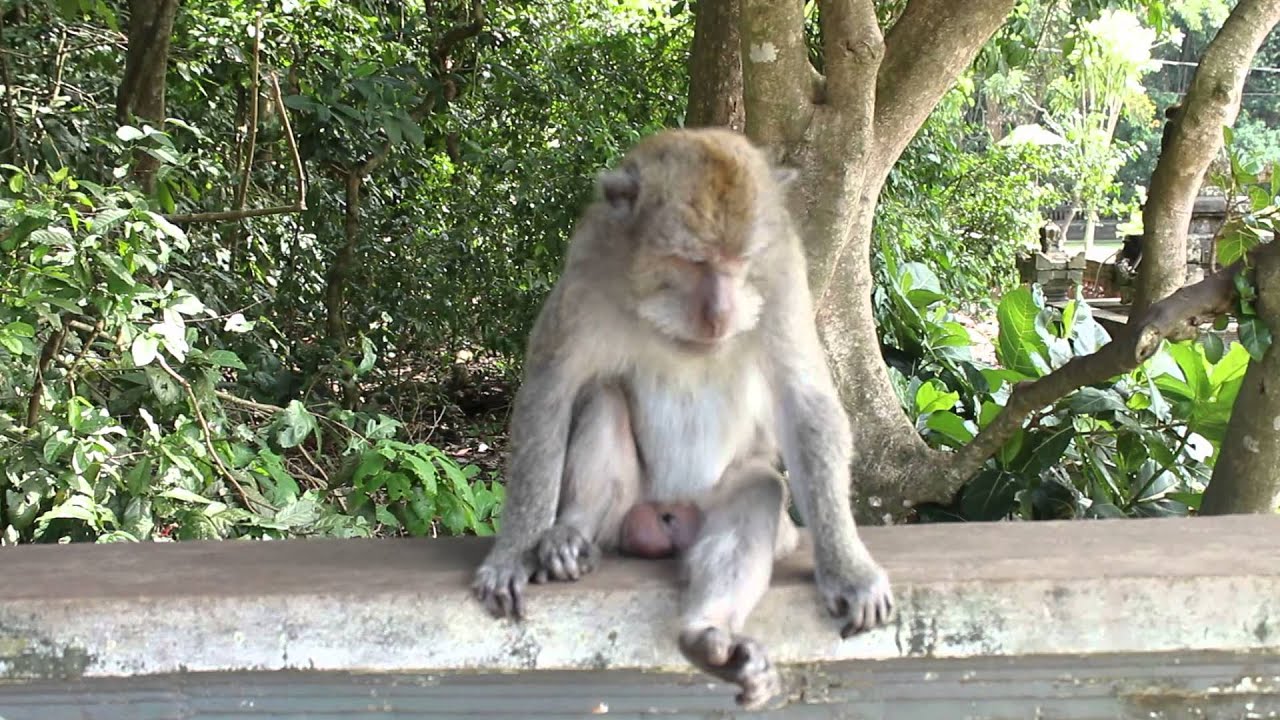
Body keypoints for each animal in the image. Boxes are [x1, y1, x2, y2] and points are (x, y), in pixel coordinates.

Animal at [471, 127, 895, 710]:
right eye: (691, 260)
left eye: (741, 260)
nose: (720, 314)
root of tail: (666, 515)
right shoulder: (587, 266)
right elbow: (549, 392)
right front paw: (513, 552)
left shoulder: (783, 273)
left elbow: (804, 401)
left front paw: (849, 571)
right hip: (627, 511)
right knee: (603, 397)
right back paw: (570, 537)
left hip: (727, 511)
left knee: (758, 491)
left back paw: (707, 635)